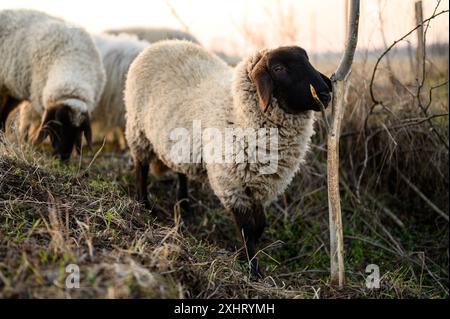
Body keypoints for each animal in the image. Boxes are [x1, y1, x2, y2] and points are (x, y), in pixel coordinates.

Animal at [125, 40, 332, 280]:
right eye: (279, 68)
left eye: (308, 60)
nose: (325, 93)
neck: (237, 112)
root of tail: (162, 43)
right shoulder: (231, 184)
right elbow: (247, 228)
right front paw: (252, 269)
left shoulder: (260, 185)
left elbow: (259, 225)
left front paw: (245, 257)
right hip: (138, 131)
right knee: (141, 169)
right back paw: (144, 206)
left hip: (178, 144)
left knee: (180, 171)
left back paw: (184, 204)